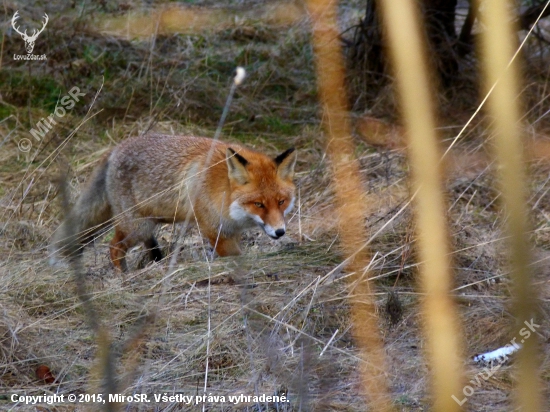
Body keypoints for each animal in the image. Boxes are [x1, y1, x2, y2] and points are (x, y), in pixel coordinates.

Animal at [49, 134, 298, 272]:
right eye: (259, 204)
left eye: (281, 201)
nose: (280, 232)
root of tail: (114, 149)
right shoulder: (217, 233)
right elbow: (235, 257)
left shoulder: (231, 231)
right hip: (136, 227)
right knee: (114, 248)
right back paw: (124, 278)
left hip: (148, 223)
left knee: (149, 248)